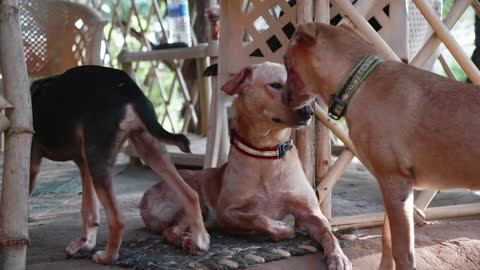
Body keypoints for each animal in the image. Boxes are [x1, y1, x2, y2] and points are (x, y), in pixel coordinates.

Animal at [30, 65, 210, 264]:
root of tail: (129, 89)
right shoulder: (83, 163)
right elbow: (89, 209)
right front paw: (84, 243)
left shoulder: (33, 165)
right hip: (148, 148)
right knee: (191, 194)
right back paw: (200, 240)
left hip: (101, 159)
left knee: (118, 219)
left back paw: (107, 257)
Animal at [141, 62, 350, 268]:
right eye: (275, 85)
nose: (309, 112)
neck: (267, 153)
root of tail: (145, 198)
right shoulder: (226, 213)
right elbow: (256, 218)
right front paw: (280, 230)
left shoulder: (312, 213)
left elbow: (329, 233)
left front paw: (338, 256)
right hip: (196, 201)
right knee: (170, 231)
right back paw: (187, 241)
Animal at [284, 22, 480, 270]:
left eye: (286, 62)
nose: (285, 99)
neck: (358, 83)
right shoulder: (391, 187)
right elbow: (387, 239)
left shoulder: (395, 182)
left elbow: (402, 251)